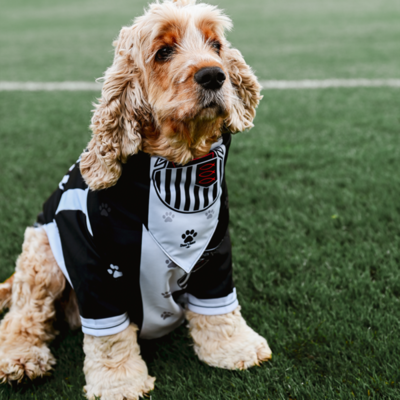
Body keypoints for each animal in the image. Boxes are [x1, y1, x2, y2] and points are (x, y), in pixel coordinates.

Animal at [0, 1, 272, 398]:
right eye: (163, 52)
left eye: (215, 45)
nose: (214, 75)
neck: (179, 167)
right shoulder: (96, 266)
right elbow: (110, 338)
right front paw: (120, 381)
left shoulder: (214, 251)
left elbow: (218, 308)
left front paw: (234, 347)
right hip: (42, 253)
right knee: (22, 317)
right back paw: (21, 359)